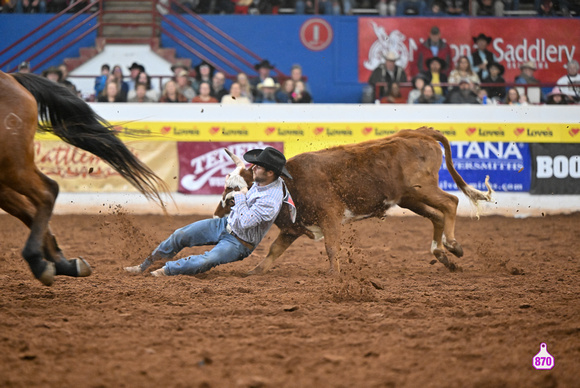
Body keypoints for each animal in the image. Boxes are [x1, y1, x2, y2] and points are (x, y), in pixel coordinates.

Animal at [2, 71, 169, 286]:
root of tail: (12, 79)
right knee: (32, 207)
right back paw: (63, 264)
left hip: (14, 165)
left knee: (47, 191)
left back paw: (41, 262)